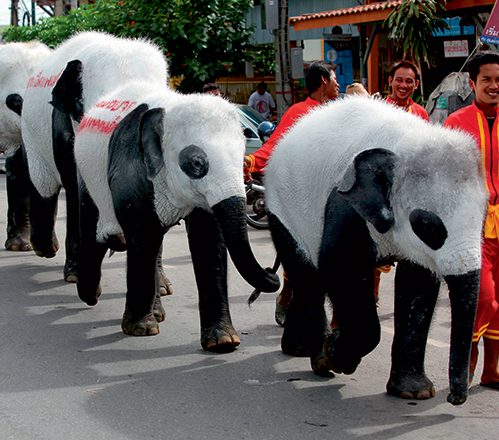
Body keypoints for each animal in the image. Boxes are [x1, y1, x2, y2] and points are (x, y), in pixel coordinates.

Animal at [21, 31, 172, 292]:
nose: (117, 239)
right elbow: (75, 188)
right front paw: (74, 274)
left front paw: (161, 287)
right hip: (29, 131)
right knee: (45, 182)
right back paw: (45, 249)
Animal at [72, 80, 280, 344]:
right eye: (196, 164)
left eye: (243, 160)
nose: (272, 273)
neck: (172, 108)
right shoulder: (129, 170)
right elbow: (142, 235)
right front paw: (141, 329)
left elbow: (207, 238)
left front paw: (223, 341)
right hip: (87, 178)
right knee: (95, 233)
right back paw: (91, 296)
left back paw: (154, 312)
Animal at [266, 95, 488, 406]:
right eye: (428, 226)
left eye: (484, 217)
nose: (454, 398)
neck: (409, 140)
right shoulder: (344, 203)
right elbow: (340, 268)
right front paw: (337, 354)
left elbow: (418, 284)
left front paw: (413, 391)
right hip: (283, 210)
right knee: (307, 275)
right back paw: (319, 359)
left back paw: (298, 349)